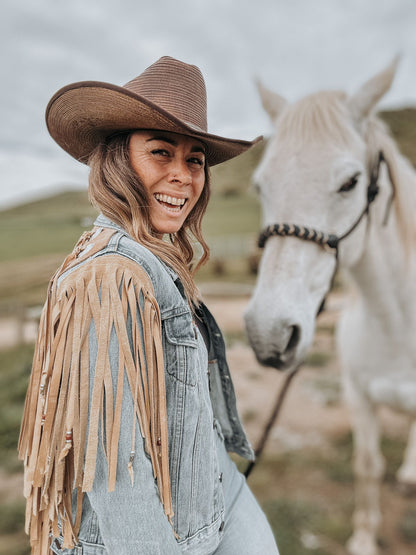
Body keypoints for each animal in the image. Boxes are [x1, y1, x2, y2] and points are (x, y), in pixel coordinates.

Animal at [244, 58, 416, 552]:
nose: (269, 333)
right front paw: (363, 538)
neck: (398, 326)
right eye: (260, 186)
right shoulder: (357, 397)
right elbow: (366, 465)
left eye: (350, 182)